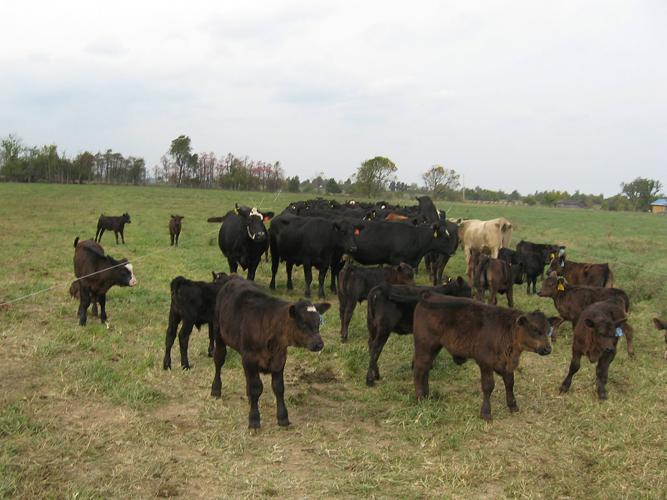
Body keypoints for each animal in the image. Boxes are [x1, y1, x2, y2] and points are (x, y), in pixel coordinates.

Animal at [211, 280, 332, 428]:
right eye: (303, 323)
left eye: (318, 322)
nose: (319, 344)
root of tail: (234, 280)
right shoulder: (250, 358)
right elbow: (256, 387)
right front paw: (254, 419)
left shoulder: (279, 359)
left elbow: (278, 388)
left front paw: (283, 418)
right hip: (219, 335)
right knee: (219, 360)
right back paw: (216, 390)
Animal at [412, 294, 560, 420]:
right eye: (535, 330)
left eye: (548, 330)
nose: (548, 349)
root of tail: (429, 295)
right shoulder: (485, 363)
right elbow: (488, 386)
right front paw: (486, 412)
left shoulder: (505, 364)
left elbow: (510, 382)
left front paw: (513, 405)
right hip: (425, 345)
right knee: (419, 368)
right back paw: (419, 398)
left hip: (433, 348)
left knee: (425, 369)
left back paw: (426, 395)